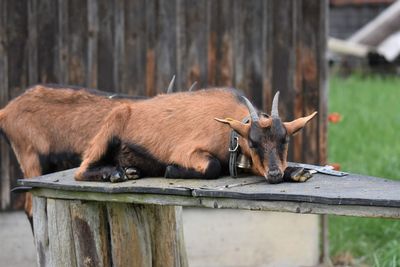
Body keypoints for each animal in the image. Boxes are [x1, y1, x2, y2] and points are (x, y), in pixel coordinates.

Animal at [73, 88, 314, 184]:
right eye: (253, 143)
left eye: (285, 140)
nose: (274, 174)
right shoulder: (186, 152)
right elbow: (212, 166)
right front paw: (171, 170)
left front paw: (296, 172)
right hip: (109, 130)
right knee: (81, 170)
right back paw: (116, 174)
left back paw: (129, 171)